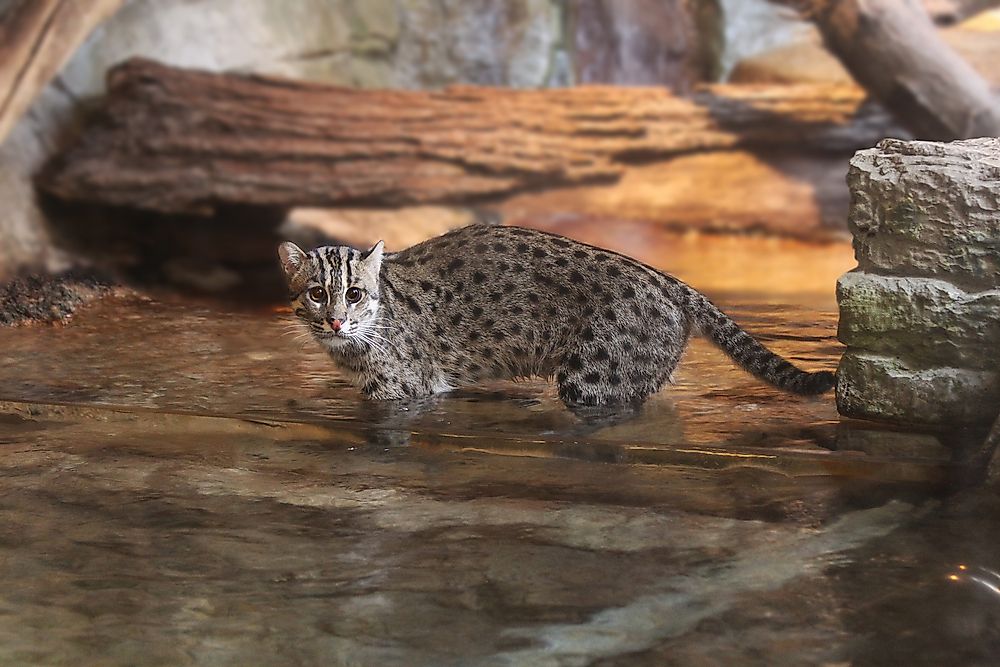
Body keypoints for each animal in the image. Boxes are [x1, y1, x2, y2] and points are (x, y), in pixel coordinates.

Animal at [282, 227, 836, 408]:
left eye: (354, 294)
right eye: (317, 294)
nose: (335, 321)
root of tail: (669, 281)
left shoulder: (401, 388)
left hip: (594, 376)